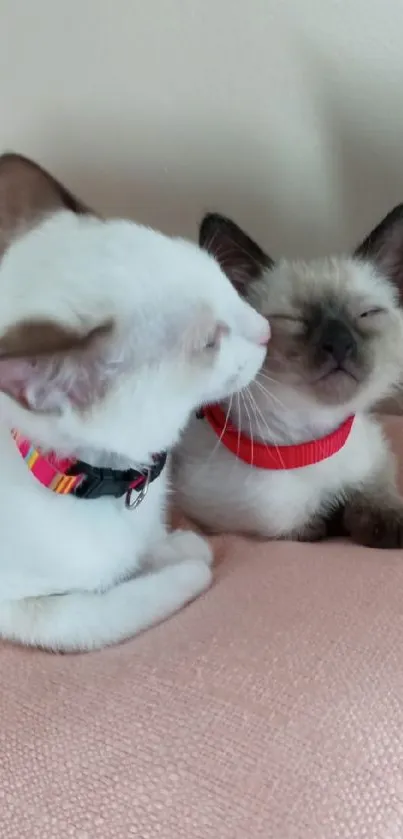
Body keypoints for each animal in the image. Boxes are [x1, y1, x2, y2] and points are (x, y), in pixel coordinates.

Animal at [0, 159, 268, 656]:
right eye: (210, 342)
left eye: (226, 284)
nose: (266, 330)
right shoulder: (24, 610)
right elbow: (103, 610)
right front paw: (185, 566)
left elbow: (149, 550)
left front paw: (171, 548)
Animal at [176, 210, 403, 552]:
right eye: (292, 320)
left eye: (367, 314)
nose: (339, 343)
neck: (313, 441)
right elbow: (306, 523)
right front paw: (331, 519)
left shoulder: (377, 455)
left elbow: (376, 494)